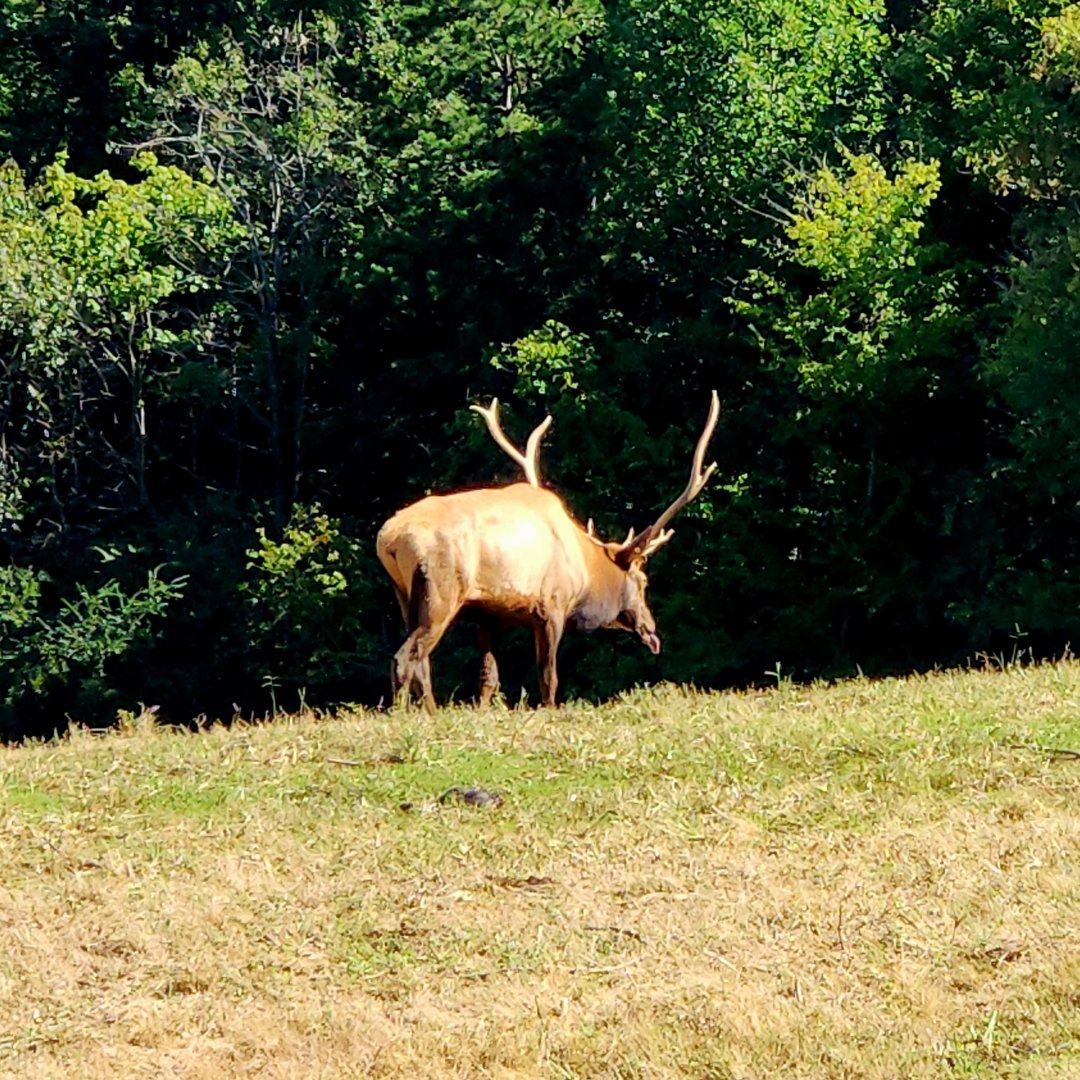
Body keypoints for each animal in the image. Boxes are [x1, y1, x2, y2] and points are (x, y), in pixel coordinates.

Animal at [376, 391, 720, 711]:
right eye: (644, 581)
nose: (651, 627)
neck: (585, 571)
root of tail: (389, 539)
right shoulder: (551, 606)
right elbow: (548, 677)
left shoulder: (489, 614)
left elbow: (489, 678)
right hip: (440, 593)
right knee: (405, 658)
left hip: (404, 597)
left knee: (421, 663)